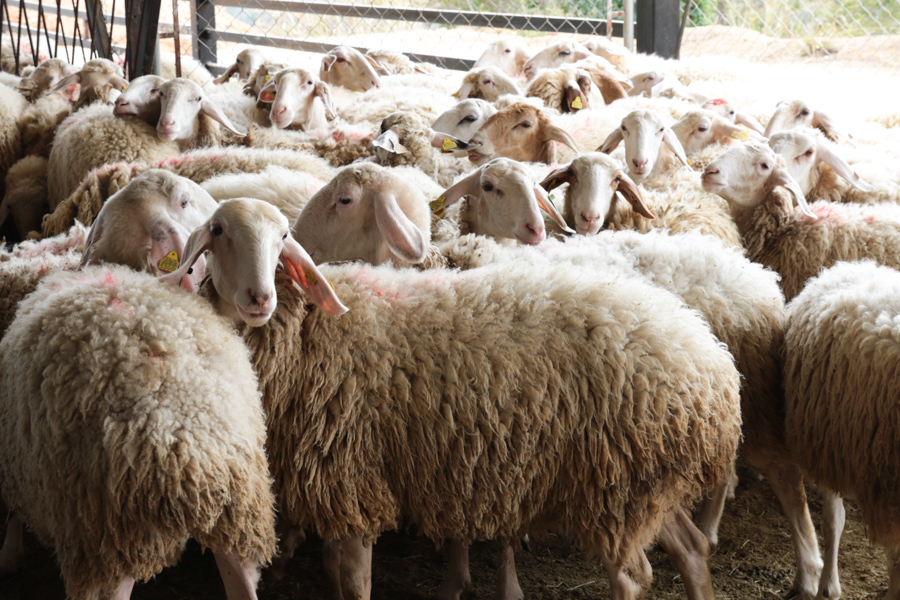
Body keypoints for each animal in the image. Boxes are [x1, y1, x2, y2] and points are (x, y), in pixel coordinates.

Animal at [160, 197, 740, 600]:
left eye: (282, 238)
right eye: (218, 231)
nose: (260, 297)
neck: (302, 330)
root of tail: (711, 364)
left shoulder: (354, 479)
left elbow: (354, 582)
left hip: (617, 486)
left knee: (634, 576)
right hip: (645, 481)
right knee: (692, 549)